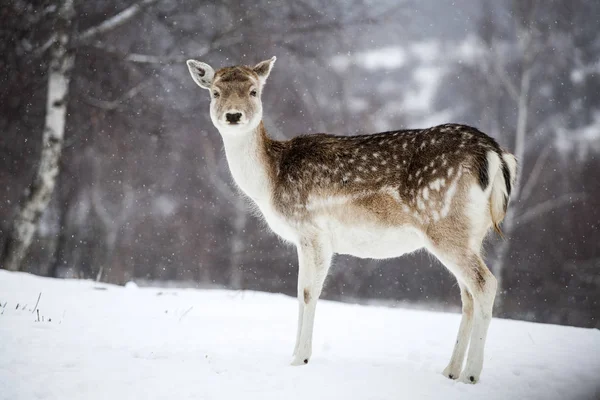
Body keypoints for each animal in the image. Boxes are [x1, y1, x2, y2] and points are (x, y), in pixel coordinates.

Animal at [186, 57, 516, 384]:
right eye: (215, 93)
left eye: (254, 91)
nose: (233, 115)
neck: (270, 182)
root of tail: (496, 155)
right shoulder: (304, 239)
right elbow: (299, 291)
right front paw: (294, 355)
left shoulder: (313, 230)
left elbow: (308, 292)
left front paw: (300, 358)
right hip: (471, 233)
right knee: (467, 294)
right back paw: (450, 370)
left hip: (444, 225)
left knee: (485, 284)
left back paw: (470, 374)